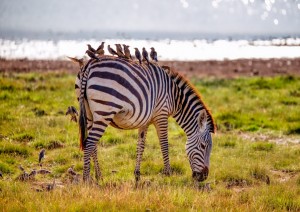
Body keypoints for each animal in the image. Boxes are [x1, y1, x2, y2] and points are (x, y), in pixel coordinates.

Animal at [69, 53, 214, 182]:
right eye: (203, 146)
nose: (203, 177)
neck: (174, 96)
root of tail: (89, 64)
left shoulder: (145, 120)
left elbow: (141, 145)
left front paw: (137, 175)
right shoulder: (161, 115)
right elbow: (164, 143)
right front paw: (168, 173)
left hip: (89, 114)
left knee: (92, 144)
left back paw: (99, 176)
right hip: (104, 112)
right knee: (89, 143)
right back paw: (86, 179)